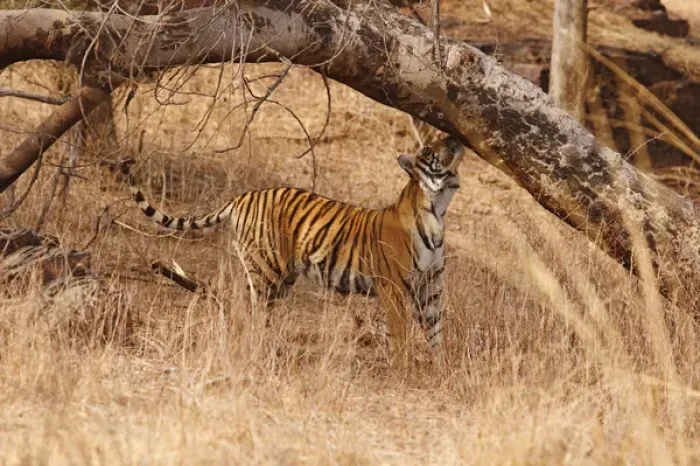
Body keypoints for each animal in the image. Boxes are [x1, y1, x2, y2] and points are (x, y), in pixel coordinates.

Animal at [122, 136, 464, 365]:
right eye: (430, 149)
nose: (454, 138)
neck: (438, 209)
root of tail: (241, 197)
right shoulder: (392, 286)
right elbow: (401, 333)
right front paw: (403, 371)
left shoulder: (431, 286)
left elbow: (435, 331)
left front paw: (439, 370)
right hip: (264, 271)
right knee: (248, 309)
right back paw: (254, 351)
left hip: (282, 279)